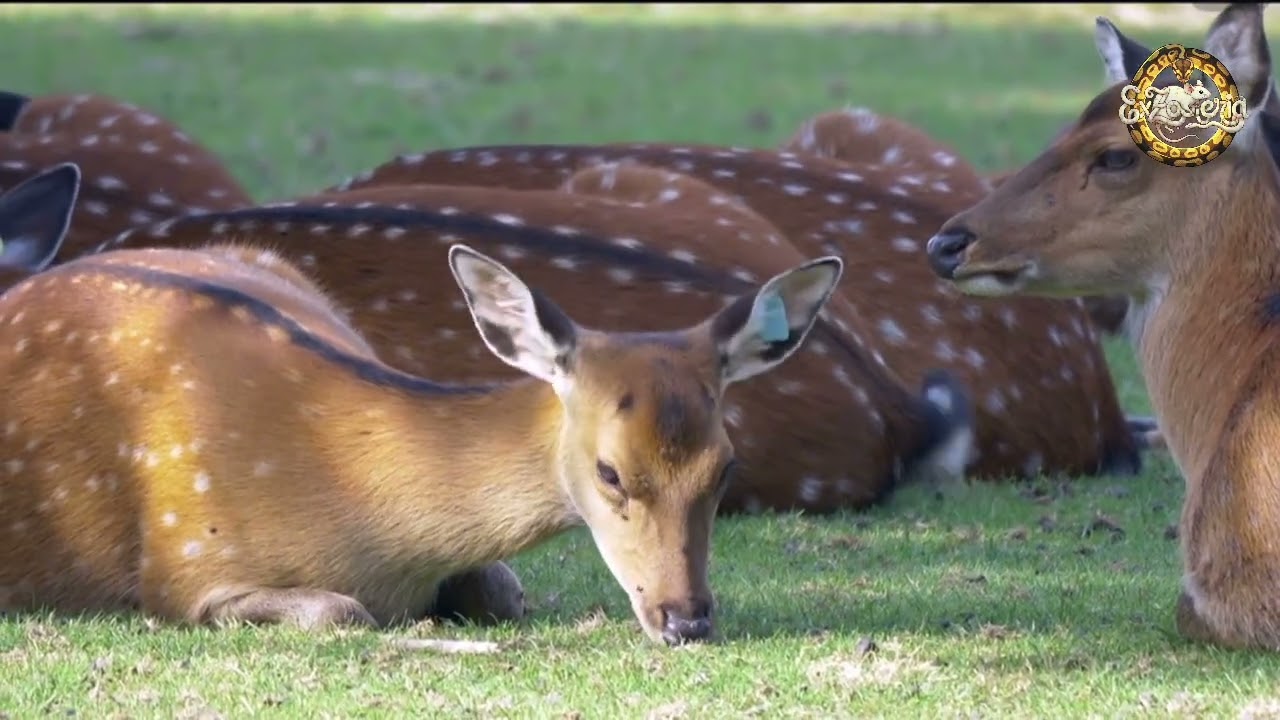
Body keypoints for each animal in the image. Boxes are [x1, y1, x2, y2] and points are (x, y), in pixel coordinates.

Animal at [0, 216, 851, 643]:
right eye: (610, 472)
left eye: (725, 468)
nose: (687, 618)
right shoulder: (182, 569)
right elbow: (341, 611)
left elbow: (502, 592)